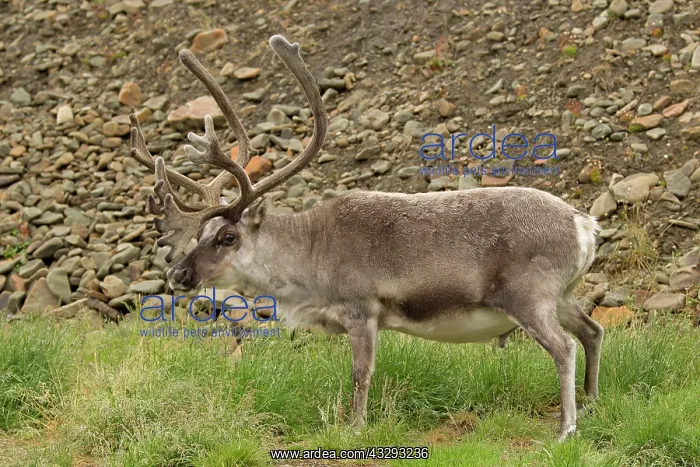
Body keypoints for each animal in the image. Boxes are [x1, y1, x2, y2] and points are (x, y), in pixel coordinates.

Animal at [129, 35, 603, 441]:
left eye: (228, 236)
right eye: (200, 233)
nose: (178, 274)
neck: (308, 266)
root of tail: (584, 225)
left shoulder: (362, 309)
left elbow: (361, 375)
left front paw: (354, 428)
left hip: (529, 297)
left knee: (564, 348)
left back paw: (567, 429)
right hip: (562, 296)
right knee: (592, 330)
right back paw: (592, 401)